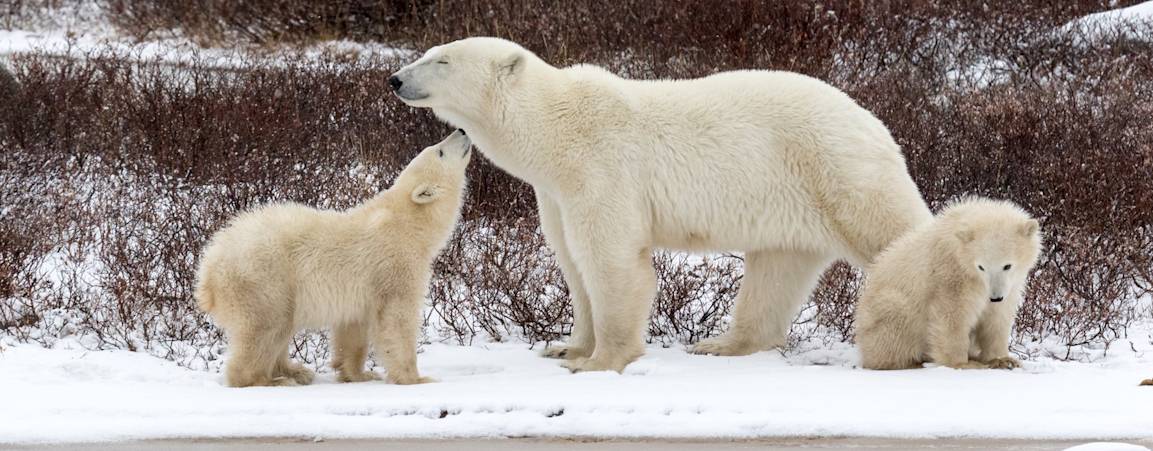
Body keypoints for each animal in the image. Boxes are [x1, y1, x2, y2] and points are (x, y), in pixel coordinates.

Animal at [194, 129, 471, 387]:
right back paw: (272, 380)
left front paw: (359, 374)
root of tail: (208, 270)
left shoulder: (360, 289)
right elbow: (396, 320)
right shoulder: (396, 266)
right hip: (263, 279)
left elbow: (353, 328)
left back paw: (296, 371)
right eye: (439, 151)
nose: (461, 131)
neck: (408, 224)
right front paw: (417, 378)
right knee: (266, 328)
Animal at [388, 37, 932, 372]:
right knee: (776, 271)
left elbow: (610, 258)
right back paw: (721, 344)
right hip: (791, 203)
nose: (394, 79)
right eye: (429, 51)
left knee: (895, 236)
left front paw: (600, 361)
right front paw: (566, 346)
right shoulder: (557, 193)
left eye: (443, 60)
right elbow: (572, 262)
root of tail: (874, 122)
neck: (556, 131)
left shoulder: (602, 168)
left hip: (838, 172)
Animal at [854, 197, 1042, 370]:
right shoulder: (951, 274)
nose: (995, 297)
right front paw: (963, 363)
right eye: (981, 267)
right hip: (888, 310)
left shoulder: (1009, 285)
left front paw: (1002, 360)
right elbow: (952, 315)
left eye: (1007, 265)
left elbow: (996, 318)